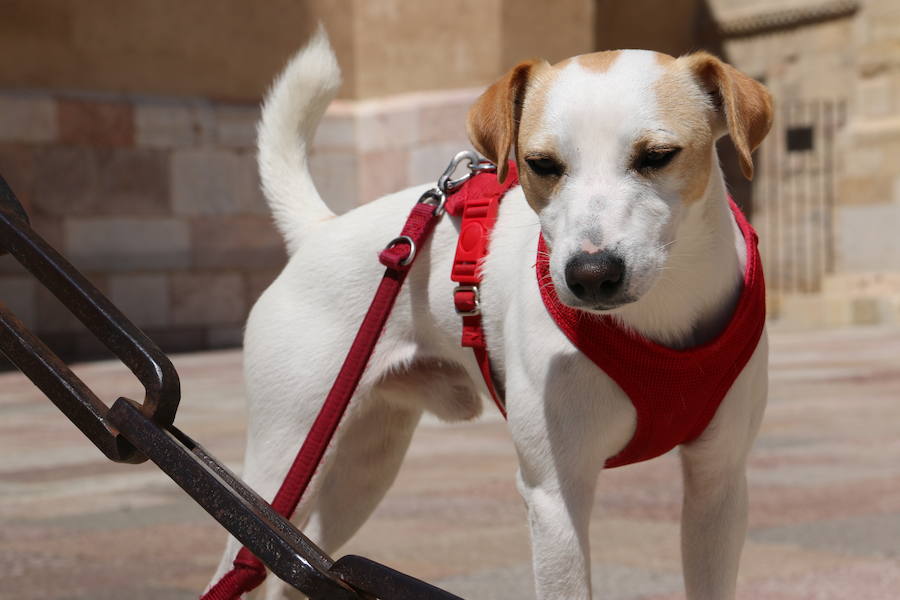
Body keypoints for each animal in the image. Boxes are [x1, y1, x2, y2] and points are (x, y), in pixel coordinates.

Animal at [206, 27, 772, 600]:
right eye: (541, 164)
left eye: (658, 155)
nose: (590, 274)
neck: (659, 313)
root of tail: (319, 231)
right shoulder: (555, 492)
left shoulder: (719, 482)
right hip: (284, 458)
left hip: (362, 463)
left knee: (300, 563)